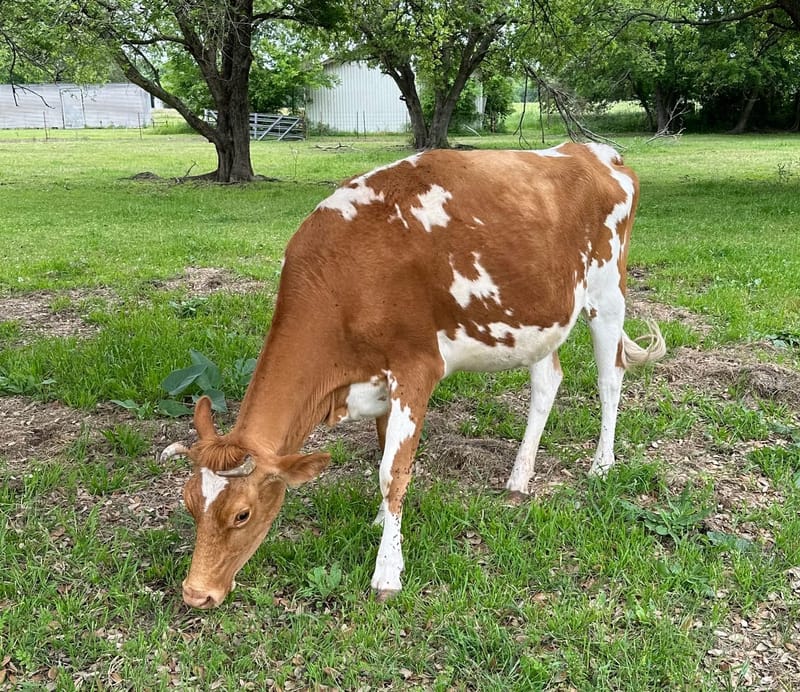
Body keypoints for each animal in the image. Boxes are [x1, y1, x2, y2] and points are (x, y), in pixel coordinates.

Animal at [159, 143, 664, 608]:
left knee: (610, 379)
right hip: (539, 318)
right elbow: (386, 453)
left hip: (608, 292)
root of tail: (589, 150)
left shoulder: (415, 369)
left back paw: (602, 465)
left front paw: (387, 572)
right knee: (546, 384)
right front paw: (384, 522)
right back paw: (519, 479)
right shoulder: (380, 382)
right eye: (188, 502)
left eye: (242, 515)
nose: (195, 594)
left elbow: (392, 472)